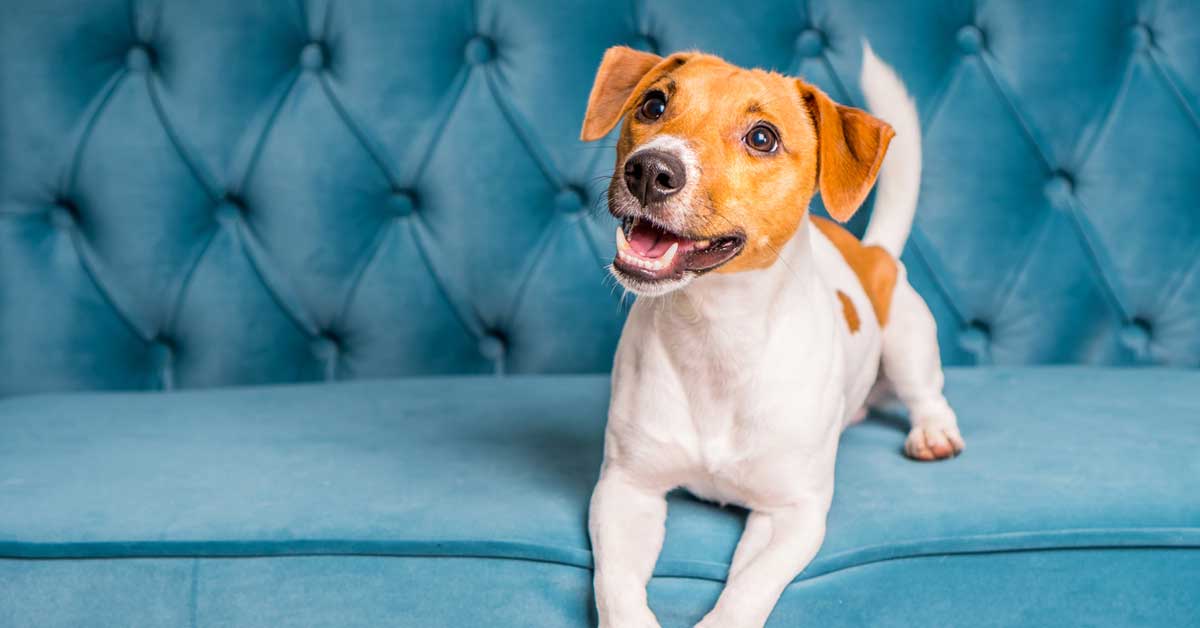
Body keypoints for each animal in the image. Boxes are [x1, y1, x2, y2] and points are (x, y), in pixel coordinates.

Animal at [579, 43, 964, 628]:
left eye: (762, 138)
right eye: (653, 104)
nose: (649, 169)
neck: (716, 334)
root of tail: (870, 251)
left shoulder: (791, 513)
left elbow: (746, 590)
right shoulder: (626, 490)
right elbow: (618, 585)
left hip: (908, 337)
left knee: (927, 393)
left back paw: (934, 432)